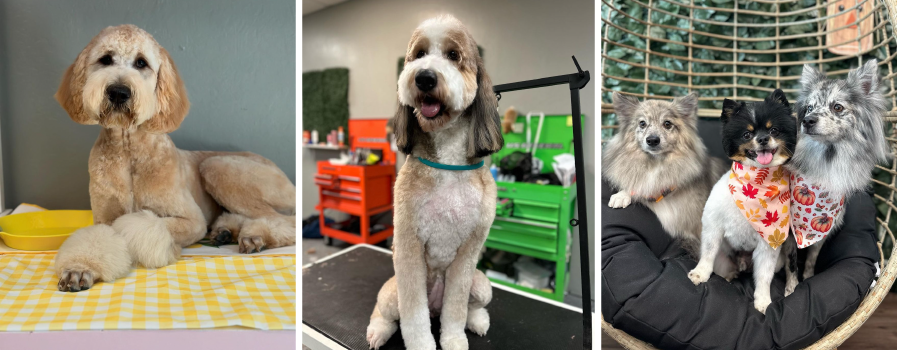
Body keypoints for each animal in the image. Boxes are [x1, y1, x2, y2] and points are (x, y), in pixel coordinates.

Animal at [788, 59, 884, 278]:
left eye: (837, 107)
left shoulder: (821, 234)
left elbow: (811, 261)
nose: (807, 121)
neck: (828, 157)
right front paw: (793, 286)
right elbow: (791, 266)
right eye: (809, 108)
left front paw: (807, 278)